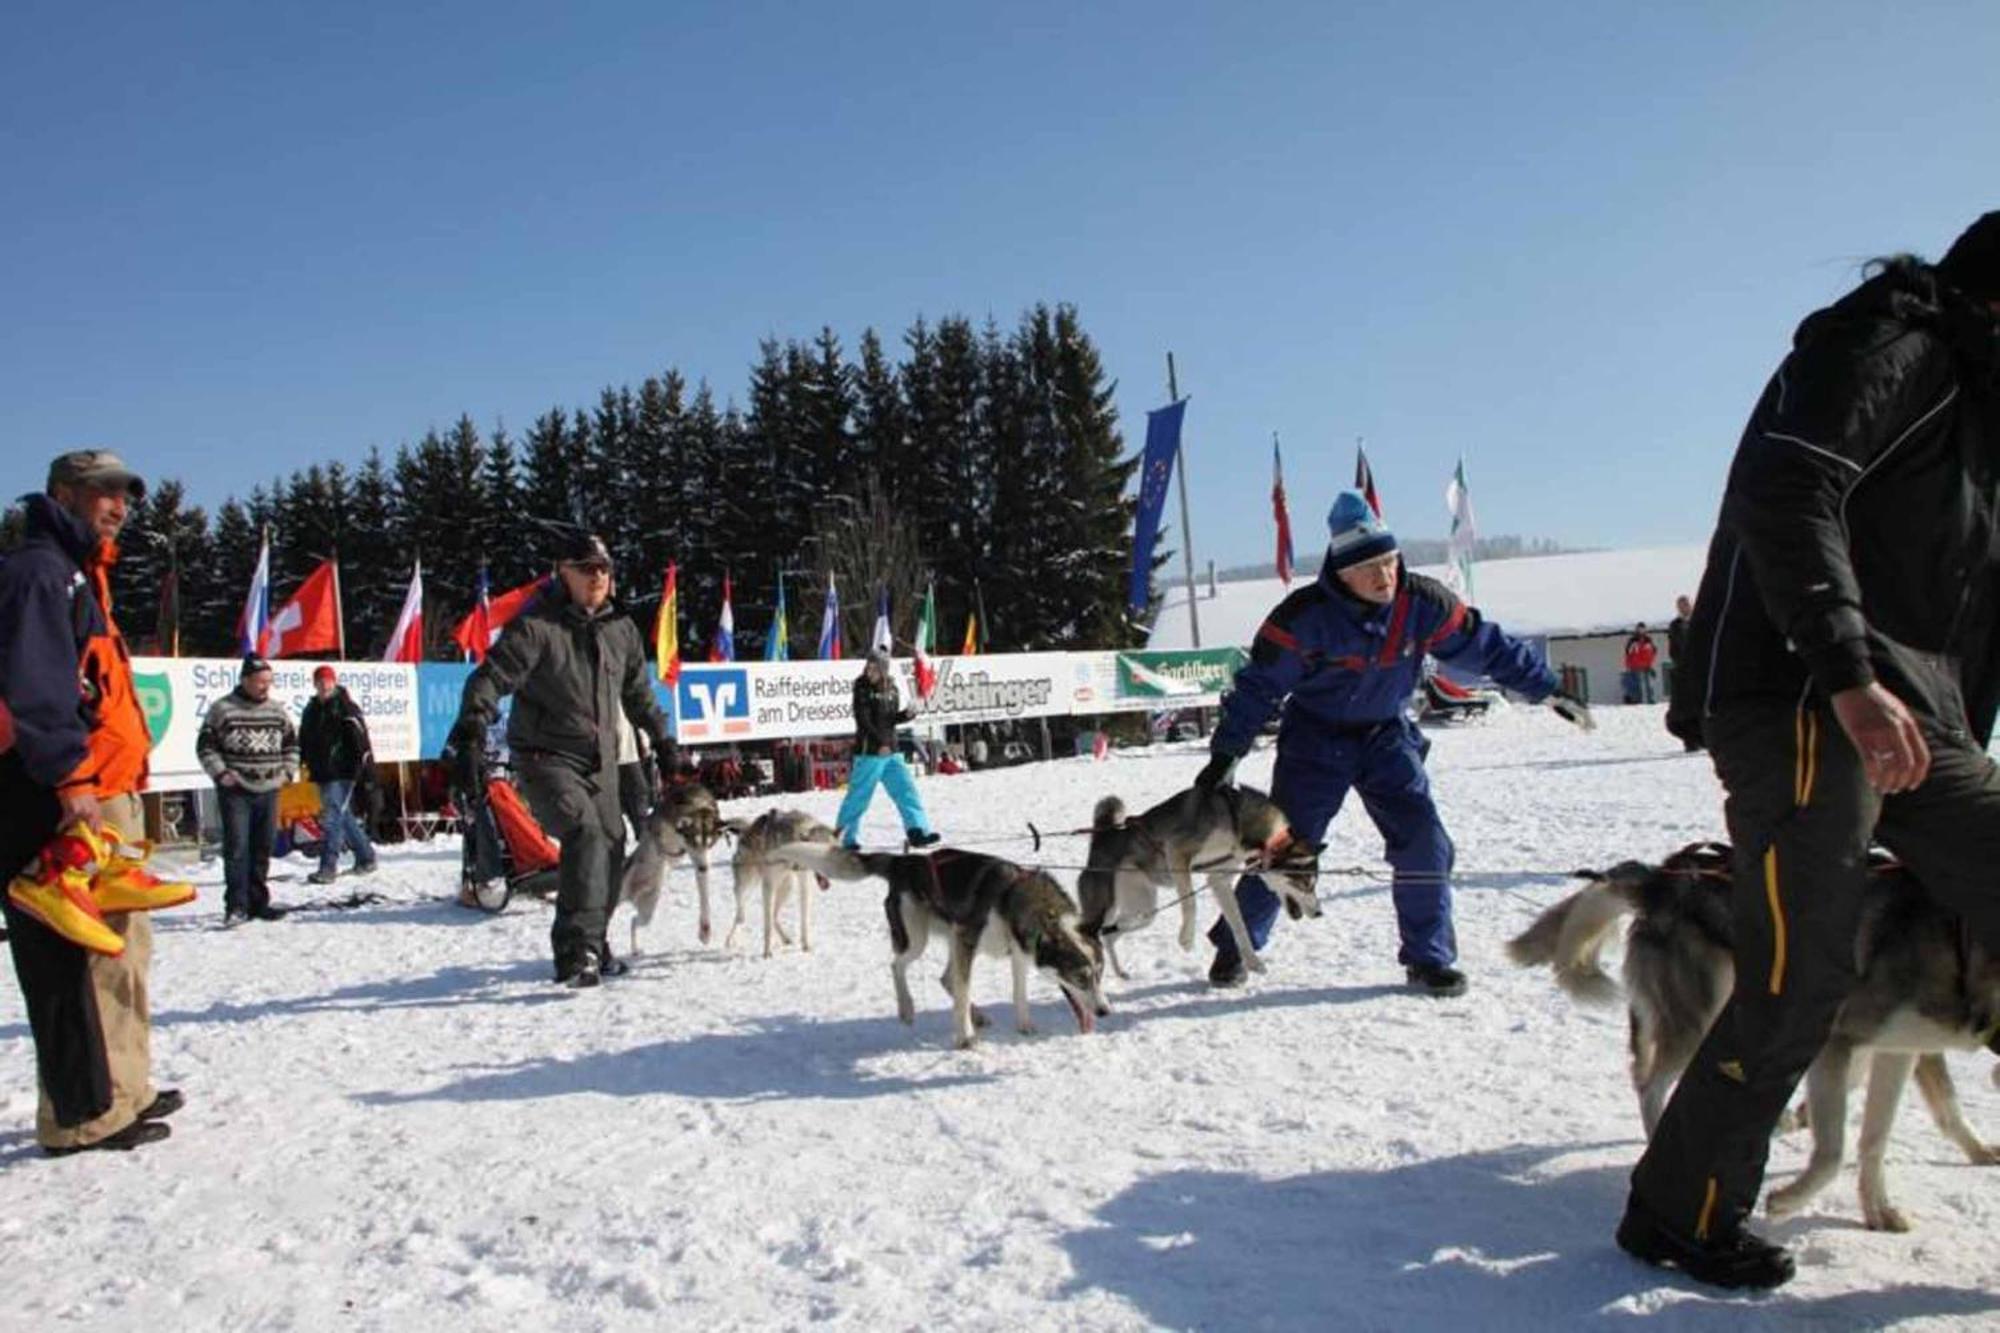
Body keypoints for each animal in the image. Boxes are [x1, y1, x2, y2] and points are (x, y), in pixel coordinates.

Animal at [616, 780, 736, 956]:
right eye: (693, 842)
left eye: (710, 844)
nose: (703, 867)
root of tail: (633, 894)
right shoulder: (659, 828)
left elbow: (704, 896)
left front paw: (705, 931)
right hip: (622, 892)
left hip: (647, 910)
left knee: (634, 921)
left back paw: (635, 949)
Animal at [724, 808, 840, 956]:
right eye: (816, 852)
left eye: (833, 851)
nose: (831, 871)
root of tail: (748, 828)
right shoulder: (768, 885)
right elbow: (767, 926)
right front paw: (767, 952)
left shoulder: (803, 882)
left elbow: (804, 920)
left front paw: (806, 946)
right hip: (747, 884)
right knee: (740, 910)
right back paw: (731, 938)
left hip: (787, 887)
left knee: (774, 916)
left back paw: (785, 938)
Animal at [784, 840, 1112, 1048]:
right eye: (1080, 977)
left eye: (1099, 974)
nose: (1105, 1012)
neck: (1011, 896)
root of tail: (903, 861)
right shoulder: (967, 938)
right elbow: (964, 992)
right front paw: (964, 1037)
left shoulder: (1018, 951)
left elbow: (1018, 993)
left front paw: (1024, 1024)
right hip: (917, 939)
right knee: (898, 965)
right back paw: (907, 1007)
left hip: (950, 937)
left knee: (945, 978)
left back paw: (977, 1015)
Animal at [1080, 780, 1328, 976]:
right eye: (1304, 884)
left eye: (1312, 885)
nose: (1319, 913)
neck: (1239, 825)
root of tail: (1102, 837)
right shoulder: (1177, 852)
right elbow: (1191, 903)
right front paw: (1187, 939)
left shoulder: (1219, 879)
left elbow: (1239, 925)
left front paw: (1252, 961)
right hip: (1108, 907)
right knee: (1094, 934)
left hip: (1143, 910)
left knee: (1109, 933)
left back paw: (1119, 972)